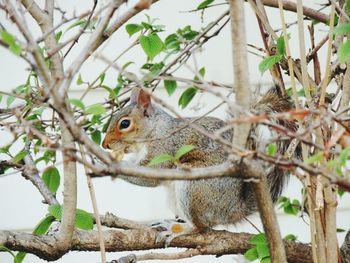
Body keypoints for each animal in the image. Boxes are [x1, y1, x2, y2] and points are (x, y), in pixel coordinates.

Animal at [102, 89, 296, 239]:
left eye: (125, 123)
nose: (105, 145)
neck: (155, 130)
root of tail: (234, 209)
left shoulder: (163, 149)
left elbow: (149, 177)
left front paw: (105, 160)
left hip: (193, 187)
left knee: (201, 227)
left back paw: (179, 230)